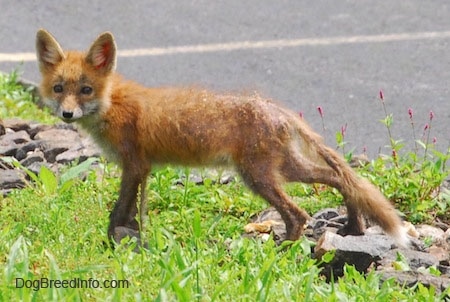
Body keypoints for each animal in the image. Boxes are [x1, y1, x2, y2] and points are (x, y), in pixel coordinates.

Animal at [34, 29, 408, 248]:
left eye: (85, 90)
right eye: (59, 88)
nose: (67, 114)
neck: (112, 104)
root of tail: (276, 108)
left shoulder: (134, 164)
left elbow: (118, 213)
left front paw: (111, 244)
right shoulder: (142, 168)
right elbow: (132, 214)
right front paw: (130, 241)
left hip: (259, 177)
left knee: (300, 212)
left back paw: (284, 251)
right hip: (281, 170)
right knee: (340, 180)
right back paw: (354, 227)